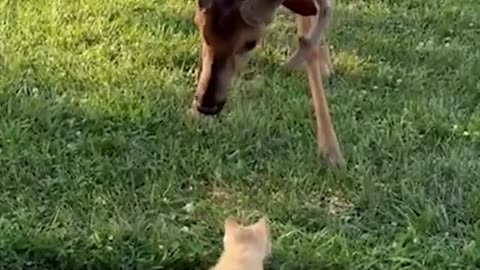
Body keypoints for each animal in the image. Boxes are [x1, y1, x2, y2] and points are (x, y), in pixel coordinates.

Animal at [191, 0, 344, 168]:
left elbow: (310, 40)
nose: (206, 105)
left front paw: (331, 152)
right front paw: (194, 113)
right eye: (197, 25)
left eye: (251, 42)